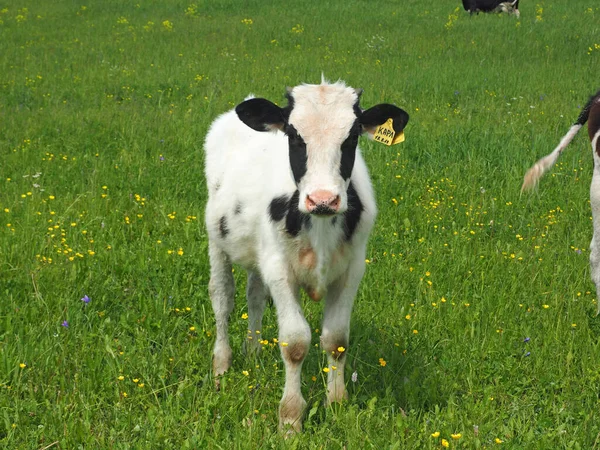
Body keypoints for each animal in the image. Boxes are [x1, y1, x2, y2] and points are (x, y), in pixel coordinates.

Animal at [204, 81, 410, 432]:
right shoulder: (279, 268)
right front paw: (290, 419)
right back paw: (222, 365)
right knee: (222, 299)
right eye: (293, 135)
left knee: (254, 295)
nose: (323, 199)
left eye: (352, 136)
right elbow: (296, 342)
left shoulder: (352, 268)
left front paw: (336, 403)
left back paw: (254, 351)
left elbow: (337, 338)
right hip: (217, 241)